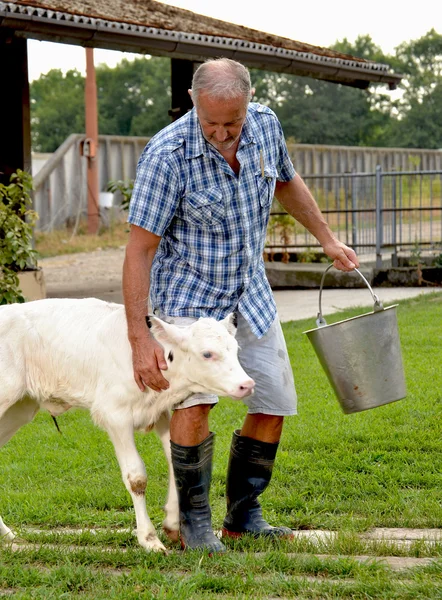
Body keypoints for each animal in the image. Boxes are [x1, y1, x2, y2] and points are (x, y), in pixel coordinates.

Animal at [0, 298, 256, 552]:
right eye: (207, 354)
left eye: (236, 350)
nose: (247, 384)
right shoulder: (115, 414)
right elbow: (136, 477)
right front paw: (149, 538)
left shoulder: (161, 412)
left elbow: (174, 462)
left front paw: (173, 524)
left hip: (19, 408)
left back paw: (6, 534)